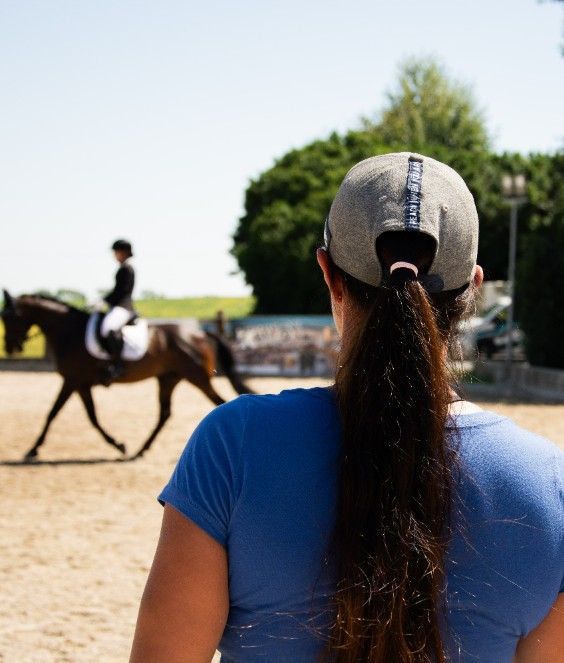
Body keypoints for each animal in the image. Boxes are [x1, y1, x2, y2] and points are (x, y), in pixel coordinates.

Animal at [0, 290, 251, 462]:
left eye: (10, 317)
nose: (11, 348)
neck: (69, 332)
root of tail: (200, 333)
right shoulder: (81, 384)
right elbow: (90, 416)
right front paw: (119, 445)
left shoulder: (72, 380)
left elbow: (54, 413)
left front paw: (33, 449)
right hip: (168, 379)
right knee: (165, 413)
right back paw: (140, 450)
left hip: (198, 378)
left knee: (217, 403)